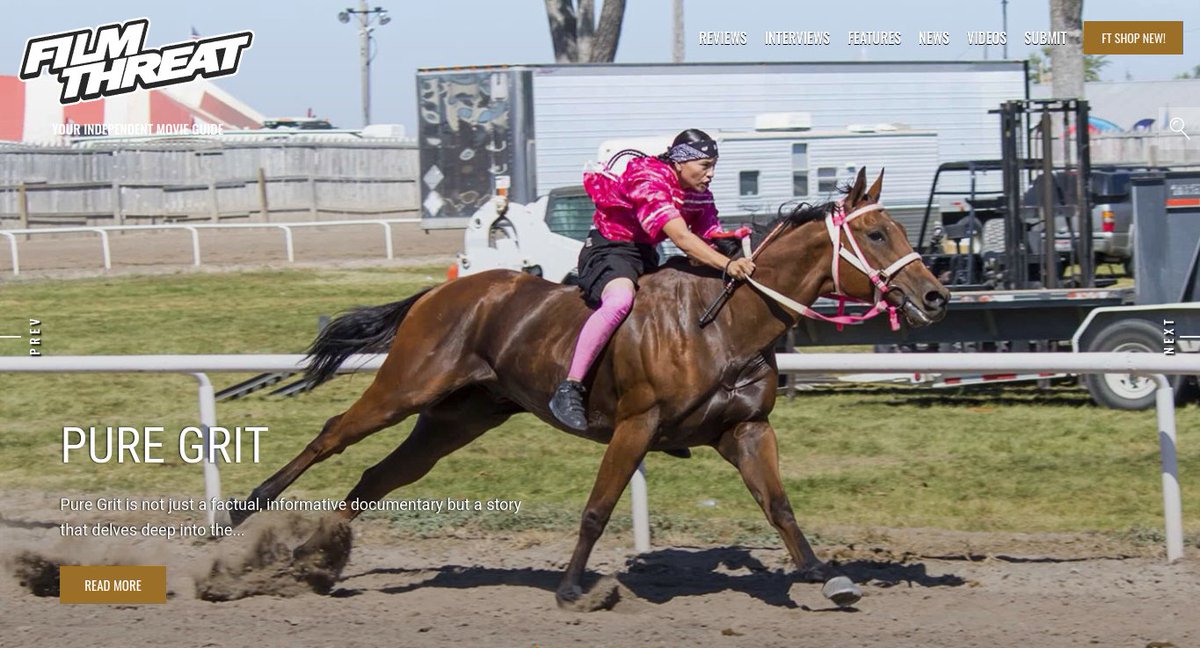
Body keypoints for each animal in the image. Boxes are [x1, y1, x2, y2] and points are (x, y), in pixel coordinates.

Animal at [231, 166, 945, 607]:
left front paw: (827, 578)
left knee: (380, 478)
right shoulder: (636, 425)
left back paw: (315, 559)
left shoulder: (745, 430)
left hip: (460, 416)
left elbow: (780, 507)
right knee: (333, 436)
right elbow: (598, 509)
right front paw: (575, 587)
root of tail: (443, 290)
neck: (722, 322)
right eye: (877, 232)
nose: (935, 295)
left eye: (900, 229)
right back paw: (244, 510)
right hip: (408, 385)